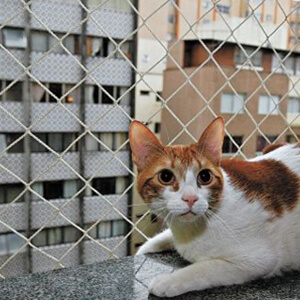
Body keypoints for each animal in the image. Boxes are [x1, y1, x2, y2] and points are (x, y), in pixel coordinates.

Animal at [128, 117, 300, 298]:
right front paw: (146, 248)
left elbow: (205, 268)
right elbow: (160, 239)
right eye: (166, 176)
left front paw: (168, 281)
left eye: (205, 176)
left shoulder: (258, 259)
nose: (190, 198)